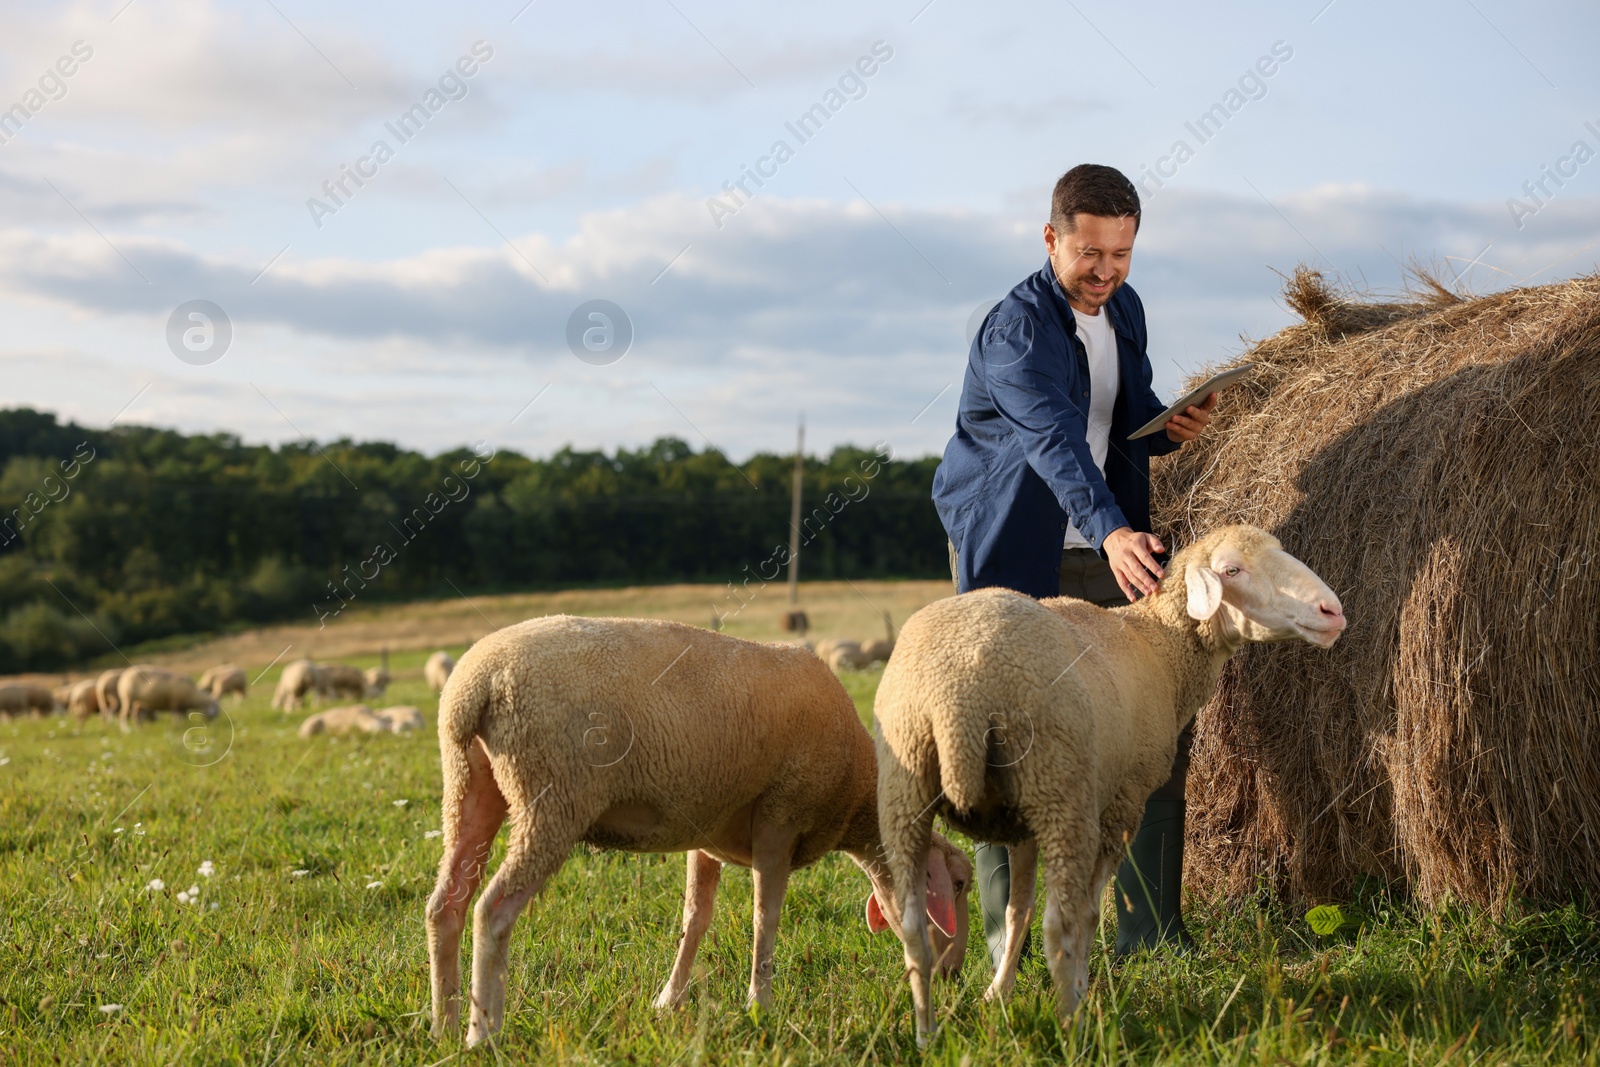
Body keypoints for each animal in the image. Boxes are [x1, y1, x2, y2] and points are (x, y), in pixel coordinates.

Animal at [428, 614, 972, 1049]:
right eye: (960, 884)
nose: (954, 976)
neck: (857, 795)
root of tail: (476, 686)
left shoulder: (706, 836)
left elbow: (696, 917)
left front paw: (669, 999)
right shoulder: (780, 817)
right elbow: (765, 917)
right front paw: (759, 1005)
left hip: (470, 783)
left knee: (446, 905)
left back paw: (443, 1026)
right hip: (552, 797)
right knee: (492, 910)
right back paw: (482, 1034)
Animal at [876, 524, 1350, 1043]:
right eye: (1232, 570)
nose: (1332, 611)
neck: (1159, 645)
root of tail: (957, 696)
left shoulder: (1021, 820)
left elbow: (1017, 909)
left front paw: (997, 994)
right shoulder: (1122, 801)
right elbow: (1084, 913)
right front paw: (1079, 988)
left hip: (908, 793)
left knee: (913, 927)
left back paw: (926, 1036)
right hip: (1060, 790)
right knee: (1059, 925)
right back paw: (1073, 1028)